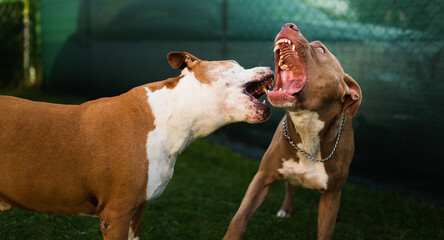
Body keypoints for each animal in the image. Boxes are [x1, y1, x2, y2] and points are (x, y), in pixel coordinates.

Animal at [224, 23, 362, 240]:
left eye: (321, 49)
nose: (289, 25)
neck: (308, 128)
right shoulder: (262, 178)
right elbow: (239, 220)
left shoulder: (331, 196)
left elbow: (325, 232)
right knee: (291, 184)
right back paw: (285, 209)